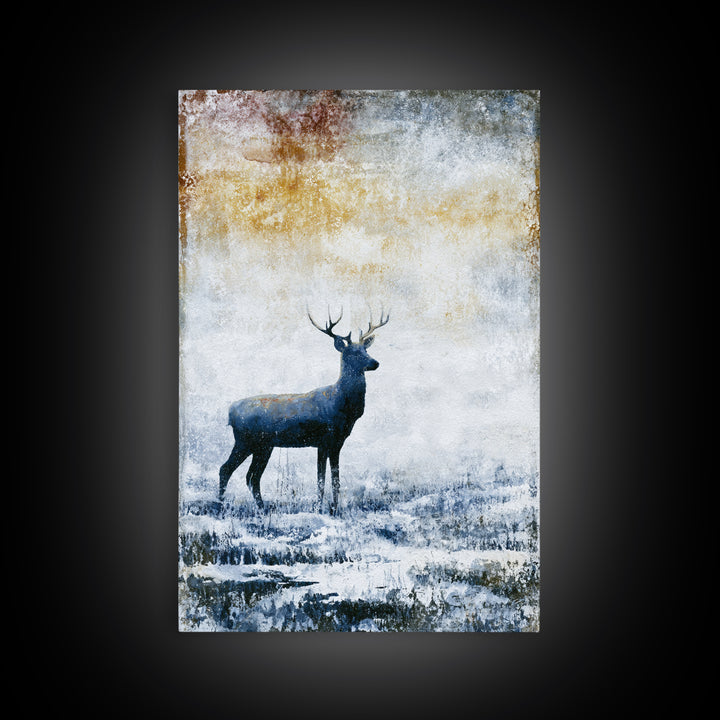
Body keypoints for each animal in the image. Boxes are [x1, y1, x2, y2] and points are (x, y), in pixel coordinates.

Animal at [219, 307, 389, 515]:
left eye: (366, 350)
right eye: (352, 353)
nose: (375, 362)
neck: (342, 406)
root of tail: (230, 411)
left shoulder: (337, 442)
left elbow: (335, 479)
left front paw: (334, 509)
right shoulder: (323, 440)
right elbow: (321, 480)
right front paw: (319, 508)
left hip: (263, 445)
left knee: (252, 477)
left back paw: (262, 509)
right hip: (245, 440)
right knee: (226, 469)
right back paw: (220, 506)